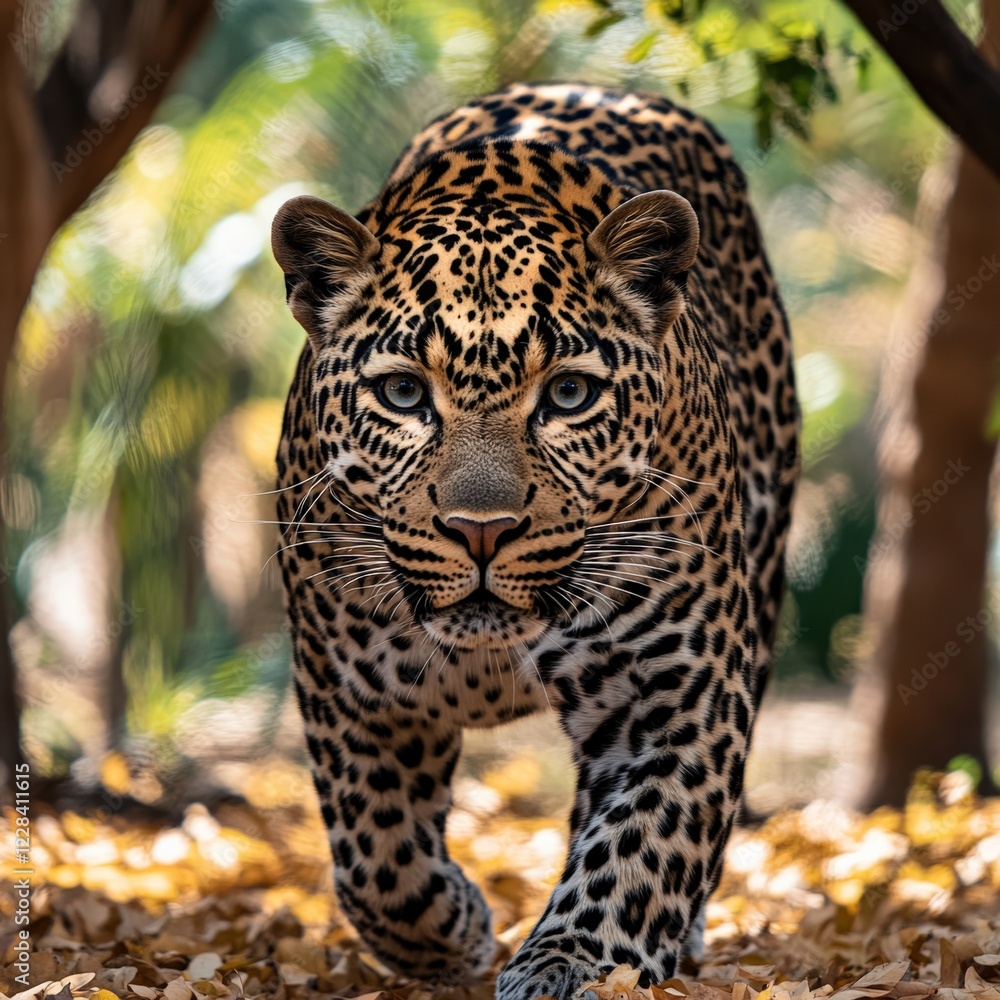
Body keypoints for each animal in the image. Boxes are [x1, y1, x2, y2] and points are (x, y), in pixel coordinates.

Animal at [271, 82, 799, 1000]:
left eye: (570, 395)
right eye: (403, 394)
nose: (481, 531)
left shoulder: (676, 692)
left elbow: (644, 843)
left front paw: (571, 962)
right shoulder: (349, 687)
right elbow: (375, 853)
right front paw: (451, 935)